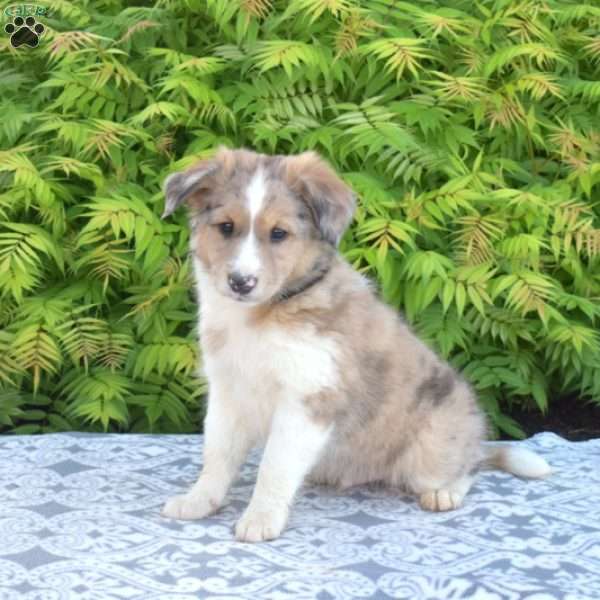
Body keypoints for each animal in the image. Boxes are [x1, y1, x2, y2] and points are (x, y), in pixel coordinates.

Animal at [161, 148, 552, 540]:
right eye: (226, 227)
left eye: (279, 233)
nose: (241, 282)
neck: (265, 313)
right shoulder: (228, 391)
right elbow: (217, 455)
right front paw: (198, 501)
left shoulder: (307, 399)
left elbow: (273, 467)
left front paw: (260, 519)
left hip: (430, 454)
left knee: (470, 467)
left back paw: (445, 493)